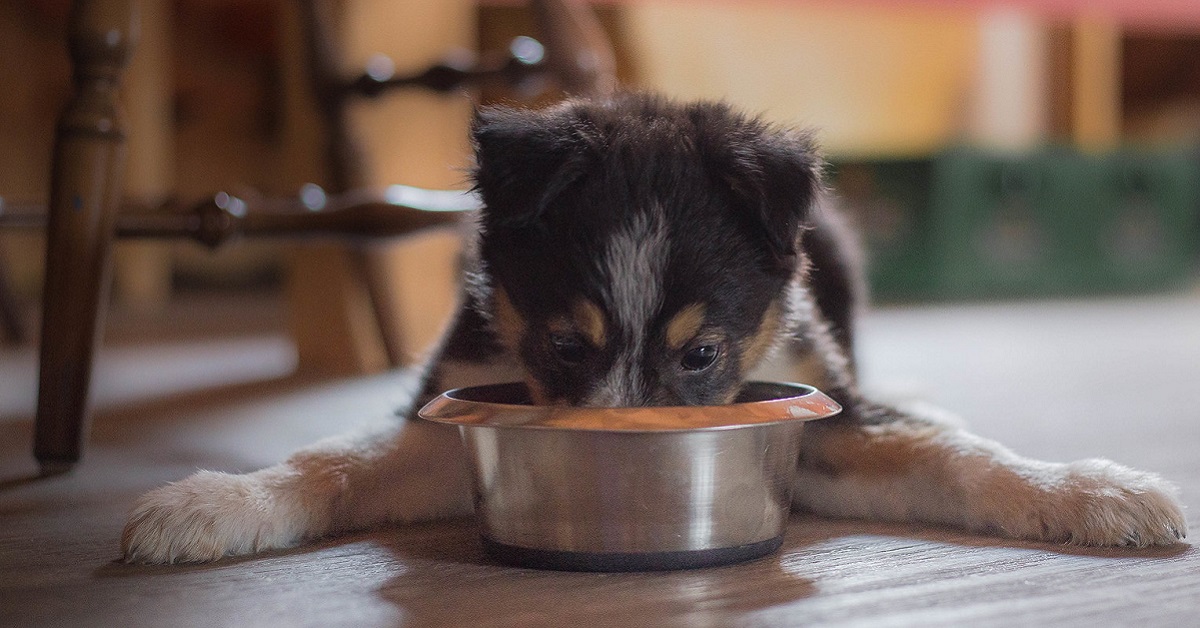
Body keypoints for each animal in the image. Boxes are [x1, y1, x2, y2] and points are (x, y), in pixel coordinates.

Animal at [117, 93, 1185, 564]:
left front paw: (1101, 493)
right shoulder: (458, 397)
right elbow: (333, 461)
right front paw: (205, 508)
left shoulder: (818, 414)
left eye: (703, 353)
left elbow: (957, 461)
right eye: (561, 344)